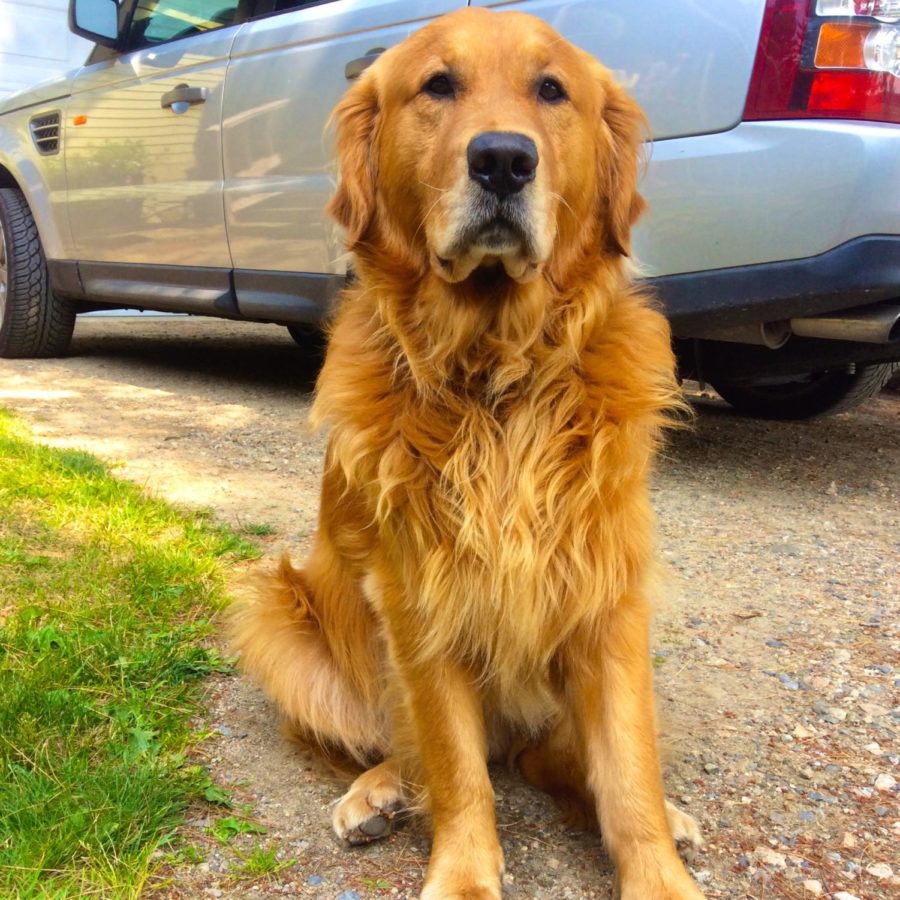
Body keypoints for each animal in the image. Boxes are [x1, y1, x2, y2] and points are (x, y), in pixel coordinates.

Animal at [229, 8, 708, 900]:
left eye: (551, 89)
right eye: (437, 86)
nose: (503, 159)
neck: (497, 378)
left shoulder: (606, 593)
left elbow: (628, 769)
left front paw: (658, 868)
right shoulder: (419, 594)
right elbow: (454, 765)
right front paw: (462, 872)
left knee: (559, 759)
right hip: (278, 619)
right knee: (407, 746)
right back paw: (378, 792)